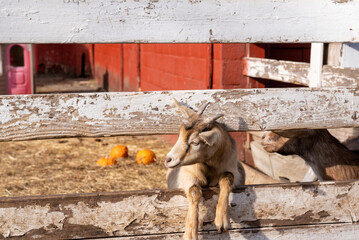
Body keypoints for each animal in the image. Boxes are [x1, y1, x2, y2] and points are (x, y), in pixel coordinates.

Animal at [165, 98, 245, 239]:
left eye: (195, 142)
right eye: (180, 135)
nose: (168, 159)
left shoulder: (233, 171)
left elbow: (228, 177)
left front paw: (222, 220)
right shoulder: (187, 175)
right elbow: (194, 191)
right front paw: (190, 234)